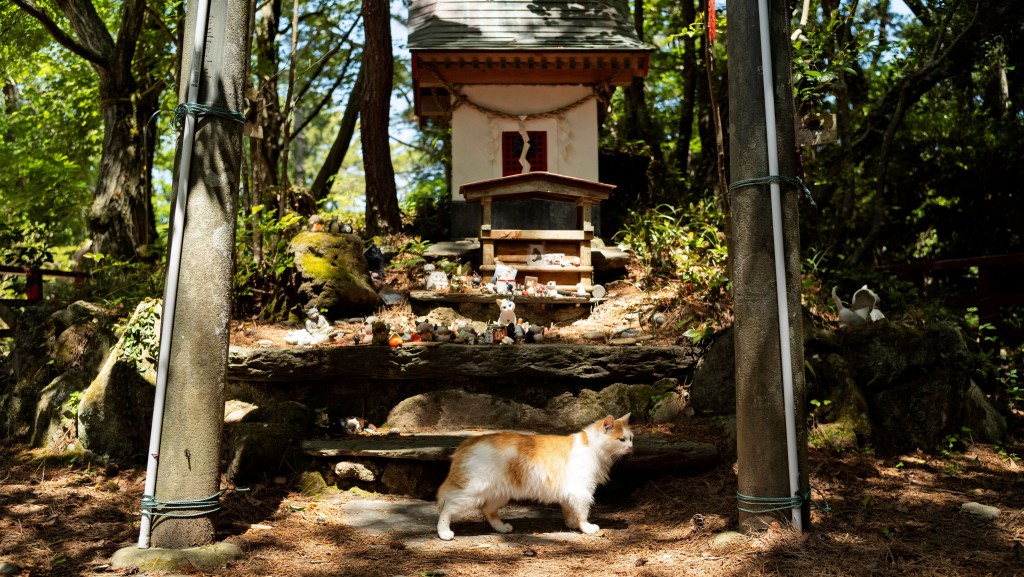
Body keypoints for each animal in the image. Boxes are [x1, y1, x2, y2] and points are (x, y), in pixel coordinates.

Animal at [434, 416, 630, 541]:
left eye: (631, 438)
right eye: (621, 439)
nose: (631, 448)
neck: (592, 448)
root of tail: (469, 441)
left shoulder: (570, 493)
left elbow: (569, 511)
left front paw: (571, 524)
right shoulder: (581, 492)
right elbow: (583, 513)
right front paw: (586, 528)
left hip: (499, 494)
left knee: (487, 510)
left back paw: (502, 528)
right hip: (471, 492)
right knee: (447, 508)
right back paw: (444, 533)